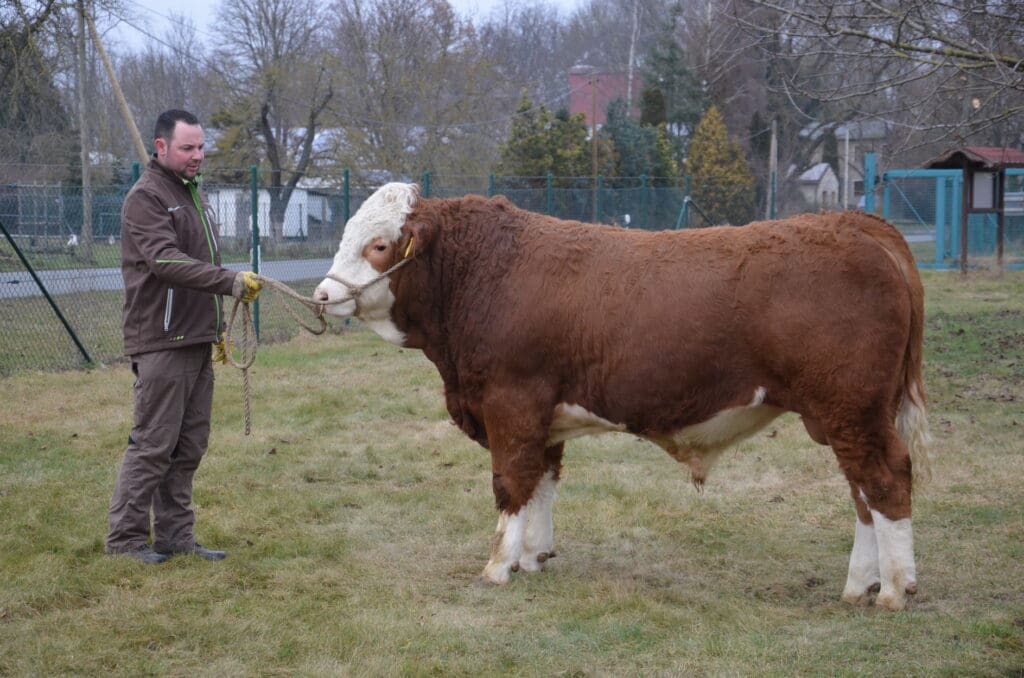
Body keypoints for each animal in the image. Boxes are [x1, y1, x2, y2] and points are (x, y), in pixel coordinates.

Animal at [315, 183, 933, 614]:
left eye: (378, 245)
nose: (321, 295)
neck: (480, 274)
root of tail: (855, 223)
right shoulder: (543, 417)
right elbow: (541, 483)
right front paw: (534, 558)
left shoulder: (511, 403)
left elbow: (510, 484)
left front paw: (497, 566)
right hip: (841, 416)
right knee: (861, 491)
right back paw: (859, 584)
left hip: (853, 410)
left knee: (885, 480)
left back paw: (894, 589)